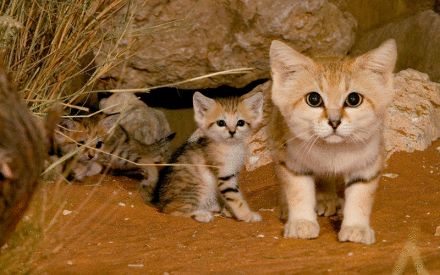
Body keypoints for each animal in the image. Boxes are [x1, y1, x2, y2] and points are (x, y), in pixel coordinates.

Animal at [154, 91, 262, 223]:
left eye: (240, 123)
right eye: (221, 123)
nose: (232, 132)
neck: (230, 146)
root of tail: (160, 203)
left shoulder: (232, 174)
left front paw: (230, 211)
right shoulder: (224, 175)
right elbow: (235, 198)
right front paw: (247, 215)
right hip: (199, 188)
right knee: (170, 209)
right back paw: (202, 214)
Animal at [270, 39, 398, 246]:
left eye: (353, 99)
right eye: (313, 99)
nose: (334, 121)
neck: (332, 150)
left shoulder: (368, 164)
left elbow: (360, 197)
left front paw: (356, 227)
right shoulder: (291, 161)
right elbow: (298, 191)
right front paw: (301, 222)